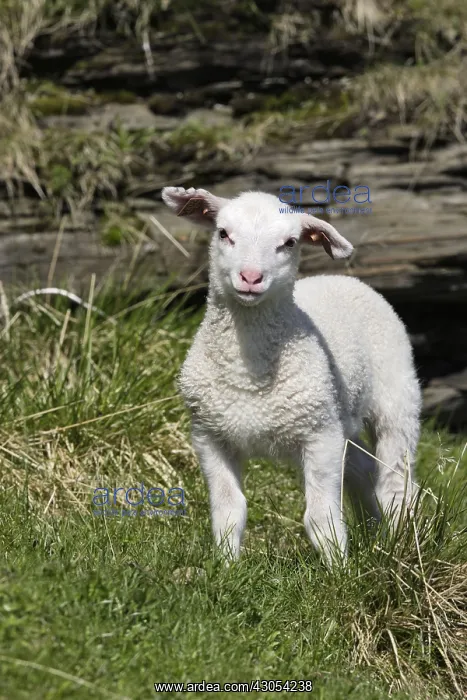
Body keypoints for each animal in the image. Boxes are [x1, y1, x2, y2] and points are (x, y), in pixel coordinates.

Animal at [161, 186, 421, 563]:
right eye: (223, 233)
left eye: (289, 242)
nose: (251, 277)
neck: (248, 373)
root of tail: (342, 277)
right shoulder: (209, 435)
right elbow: (228, 510)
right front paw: (225, 566)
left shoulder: (319, 436)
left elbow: (321, 516)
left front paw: (339, 572)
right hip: (338, 415)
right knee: (361, 467)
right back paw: (375, 534)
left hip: (396, 398)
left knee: (395, 480)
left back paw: (400, 543)